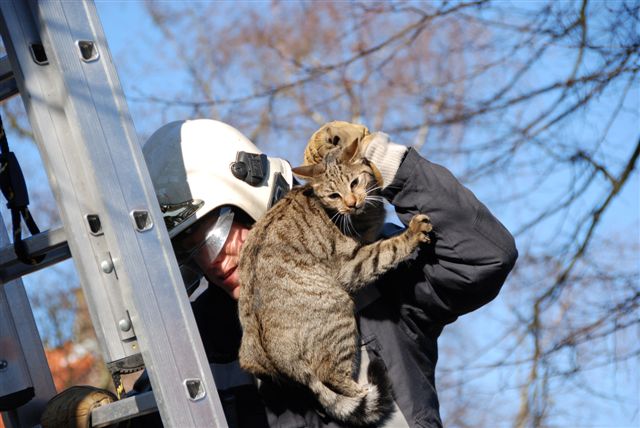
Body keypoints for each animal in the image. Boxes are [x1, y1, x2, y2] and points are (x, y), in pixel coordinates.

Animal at [238, 138, 432, 424]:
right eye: (333, 196)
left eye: (354, 183)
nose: (351, 203)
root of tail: (279, 358)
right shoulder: (352, 264)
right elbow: (387, 249)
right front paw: (412, 233)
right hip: (339, 309)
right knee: (331, 376)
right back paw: (362, 391)